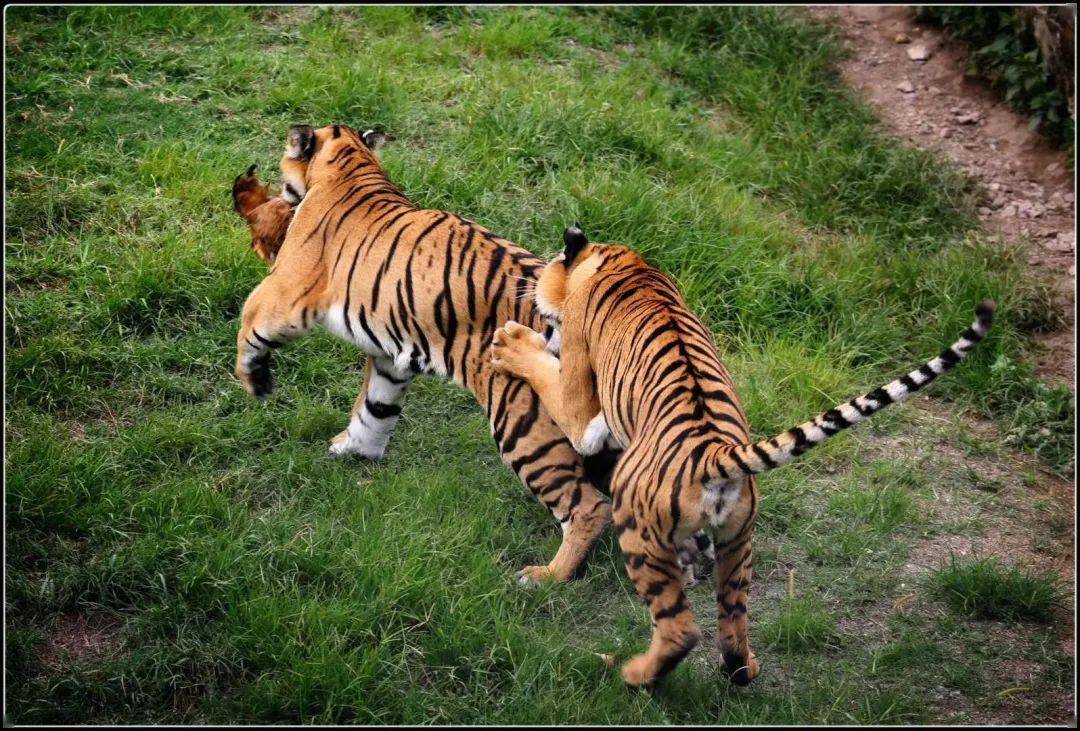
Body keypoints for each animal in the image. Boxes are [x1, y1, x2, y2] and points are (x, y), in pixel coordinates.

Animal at [490, 225, 993, 686]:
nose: (539, 322)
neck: (626, 262)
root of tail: (715, 454)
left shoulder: (580, 406)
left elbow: (551, 378)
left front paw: (512, 342)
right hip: (738, 543)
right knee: (732, 628)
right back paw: (742, 667)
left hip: (636, 529)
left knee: (679, 629)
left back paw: (634, 675)